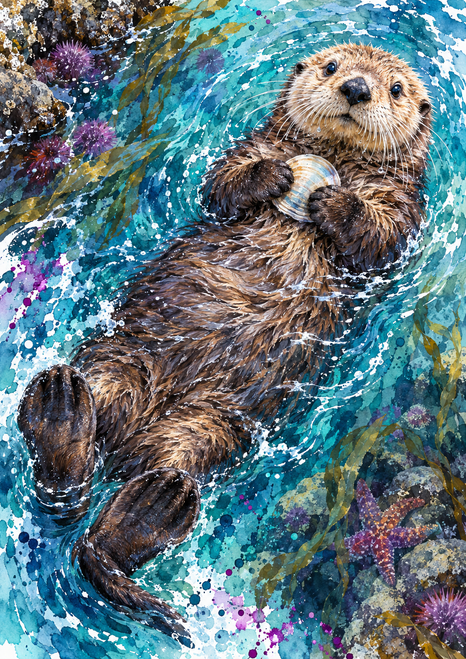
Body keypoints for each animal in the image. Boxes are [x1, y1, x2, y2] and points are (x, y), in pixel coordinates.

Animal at [17, 44, 431, 637]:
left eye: (395, 89)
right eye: (331, 68)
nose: (356, 88)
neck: (339, 160)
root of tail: (132, 433)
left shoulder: (401, 210)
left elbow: (378, 238)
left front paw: (334, 201)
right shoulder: (248, 147)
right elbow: (221, 184)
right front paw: (276, 175)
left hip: (210, 427)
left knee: (133, 494)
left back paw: (151, 503)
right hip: (121, 359)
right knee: (72, 466)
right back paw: (61, 414)